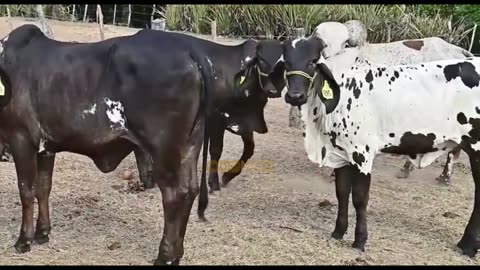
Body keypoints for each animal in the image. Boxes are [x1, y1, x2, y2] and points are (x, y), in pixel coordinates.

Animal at [0, 25, 214, 266]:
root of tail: (190, 53)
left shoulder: (21, 138)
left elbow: (26, 191)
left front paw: (23, 240)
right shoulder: (46, 148)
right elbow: (43, 188)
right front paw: (42, 233)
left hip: (164, 150)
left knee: (174, 194)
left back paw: (165, 255)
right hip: (190, 145)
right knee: (190, 190)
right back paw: (176, 254)